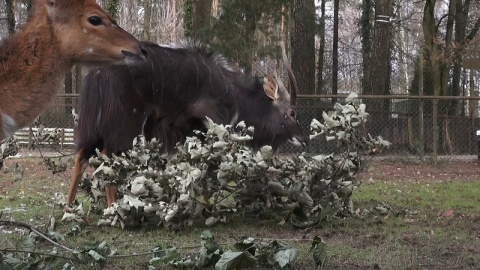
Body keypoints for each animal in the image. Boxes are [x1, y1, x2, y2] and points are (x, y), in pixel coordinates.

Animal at [67, 41, 308, 207]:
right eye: (292, 112)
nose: (303, 139)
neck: (233, 93)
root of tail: (98, 73)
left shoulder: (189, 133)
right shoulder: (211, 125)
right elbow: (207, 171)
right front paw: (208, 207)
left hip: (95, 128)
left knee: (82, 156)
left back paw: (69, 208)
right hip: (126, 127)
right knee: (107, 156)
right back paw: (115, 210)